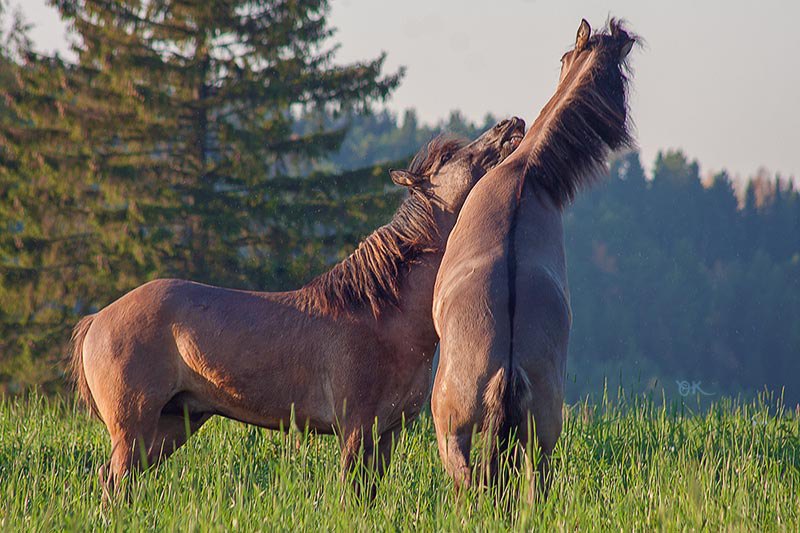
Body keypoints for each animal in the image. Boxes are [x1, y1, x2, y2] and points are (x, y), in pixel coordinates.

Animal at [69, 115, 524, 494]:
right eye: (449, 156)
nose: (512, 124)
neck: (380, 314)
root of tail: (96, 320)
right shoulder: (356, 429)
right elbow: (351, 494)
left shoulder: (386, 433)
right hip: (134, 429)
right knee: (112, 482)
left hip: (167, 429)